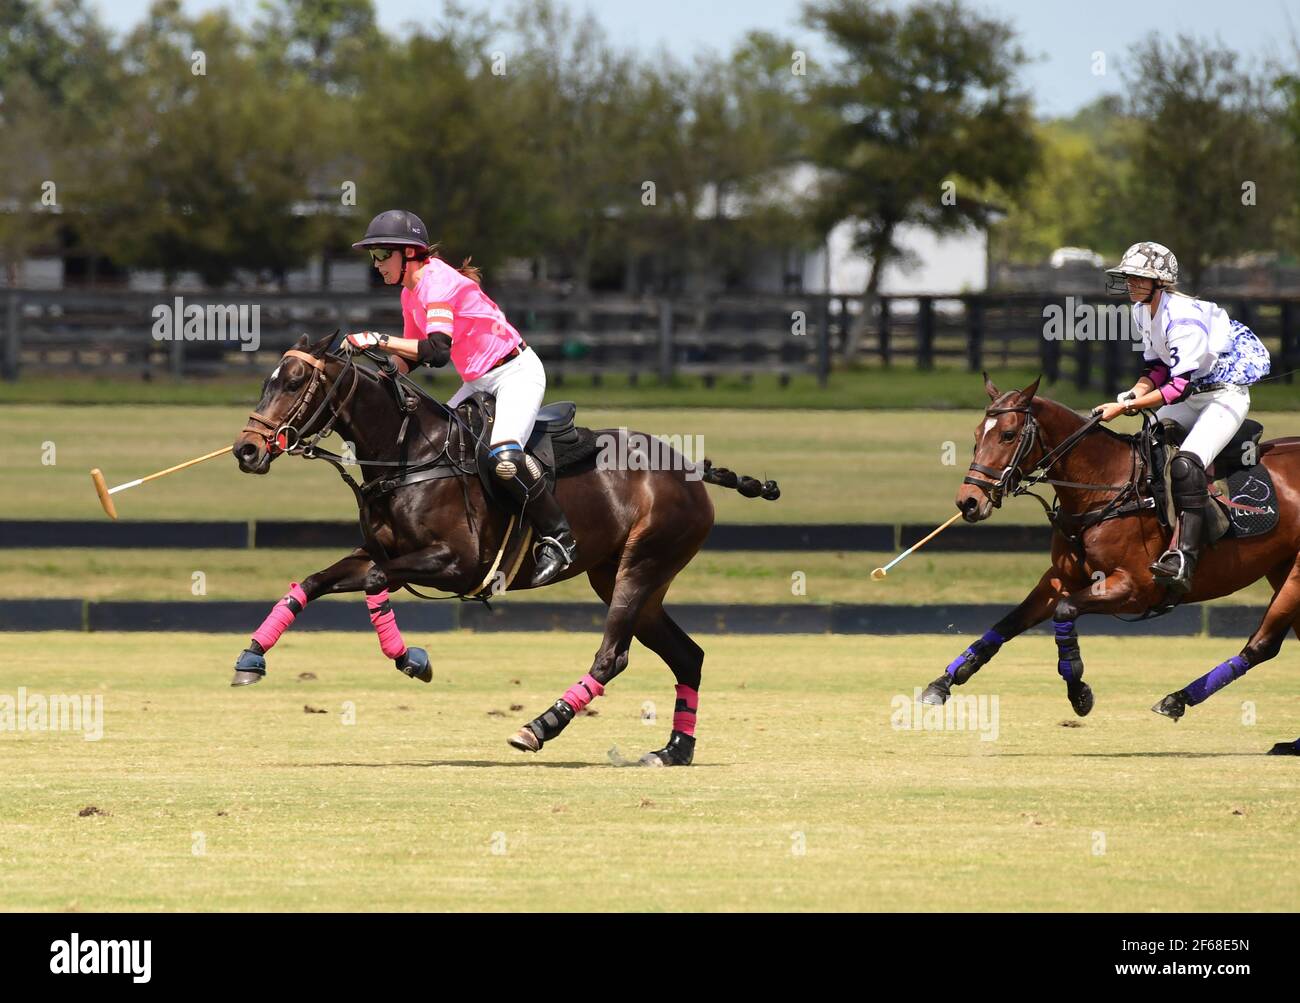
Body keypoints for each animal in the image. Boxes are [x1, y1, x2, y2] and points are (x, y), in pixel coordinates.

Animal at [230, 332, 780, 763]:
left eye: (295, 382)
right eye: (266, 382)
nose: (247, 450)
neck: (410, 453)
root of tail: (691, 468)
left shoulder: (458, 563)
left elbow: (378, 580)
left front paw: (411, 659)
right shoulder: (379, 552)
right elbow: (317, 581)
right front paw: (251, 658)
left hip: (641, 567)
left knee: (613, 656)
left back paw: (538, 727)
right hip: (623, 576)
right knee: (688, 655)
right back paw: (673, 750)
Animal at [920, 374, 1300, 753]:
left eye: (1009, 435)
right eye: (976, 434)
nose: (969, 501)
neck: (1103, 487)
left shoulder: (1134, 588)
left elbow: (1065, 612)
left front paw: (1079, 692)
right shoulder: (1059, 580)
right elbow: (1008, 623)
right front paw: (943, 682)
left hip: (1293, 577)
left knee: (1261, 645)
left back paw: (1177, 699)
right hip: (1280, 569)